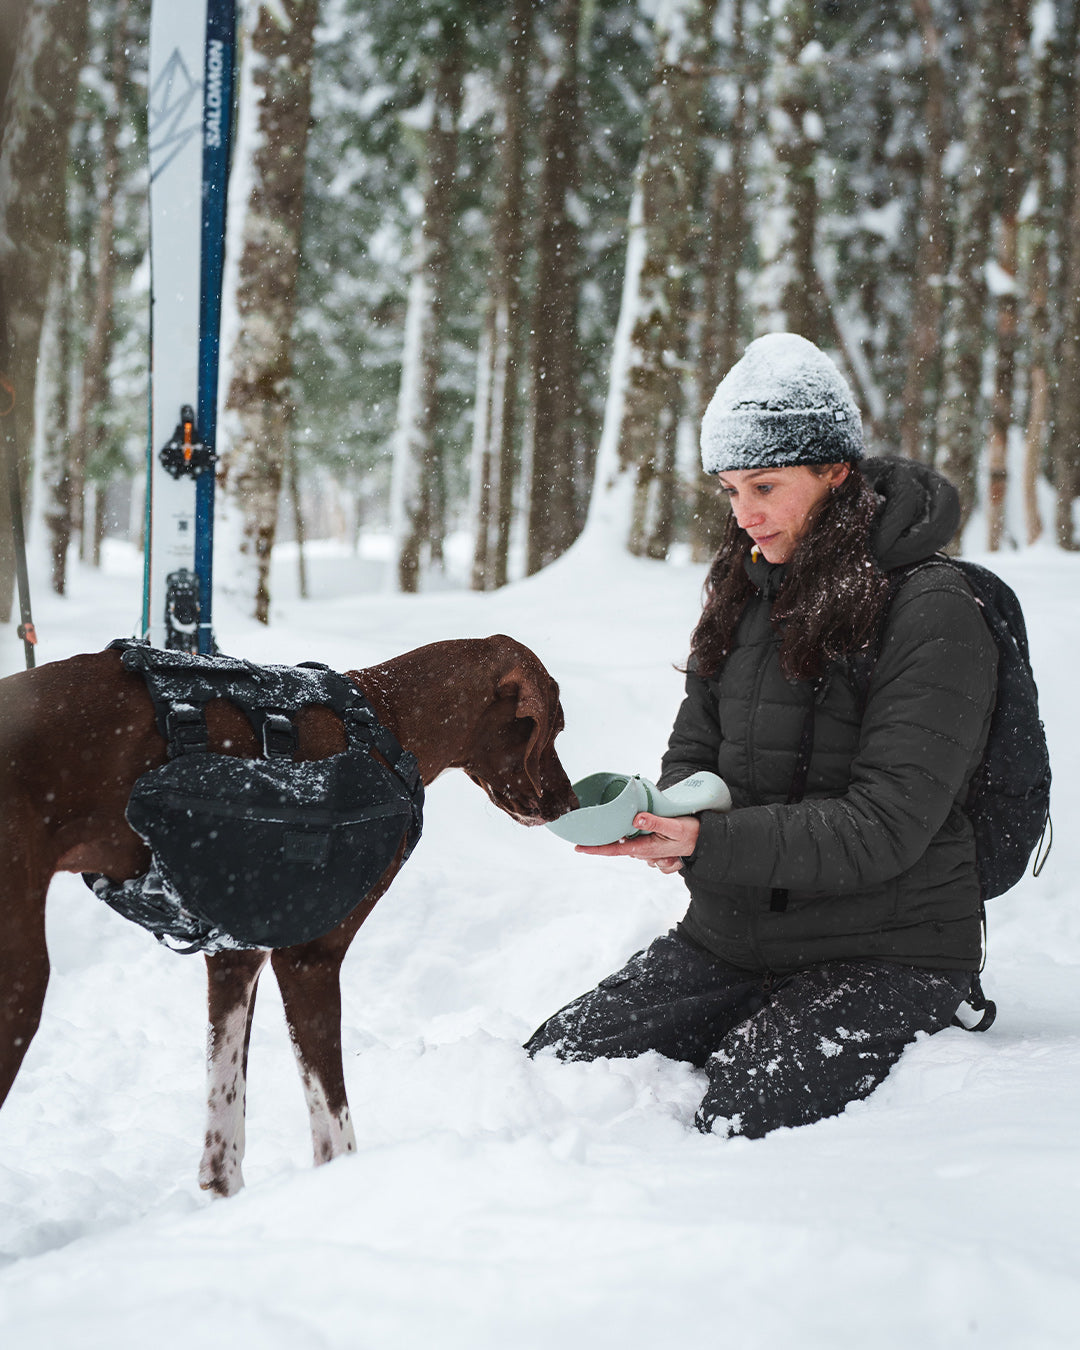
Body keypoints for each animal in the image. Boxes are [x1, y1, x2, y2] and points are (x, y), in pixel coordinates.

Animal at [0, 631, 577, 1193]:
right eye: (552, 728)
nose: (569, 805)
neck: (387, 722)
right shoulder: (309, 960)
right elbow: (334, 1129)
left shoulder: (237, 958)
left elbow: (224, 1135)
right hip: (22, 983)